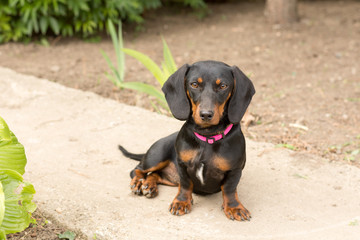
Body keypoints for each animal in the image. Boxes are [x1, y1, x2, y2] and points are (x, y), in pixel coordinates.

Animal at [119, 60, 255, 221]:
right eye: (194, 84)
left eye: (223, 86)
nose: (206, 114)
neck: (207, 137)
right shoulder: (182, 165)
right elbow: (185, 185)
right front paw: (181, 202)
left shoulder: (234, 170)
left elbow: (229, 189)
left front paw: (234, 207)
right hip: (156, 156)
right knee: (137, 170)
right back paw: (139, 183)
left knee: (154, 175)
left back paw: (149, 186)